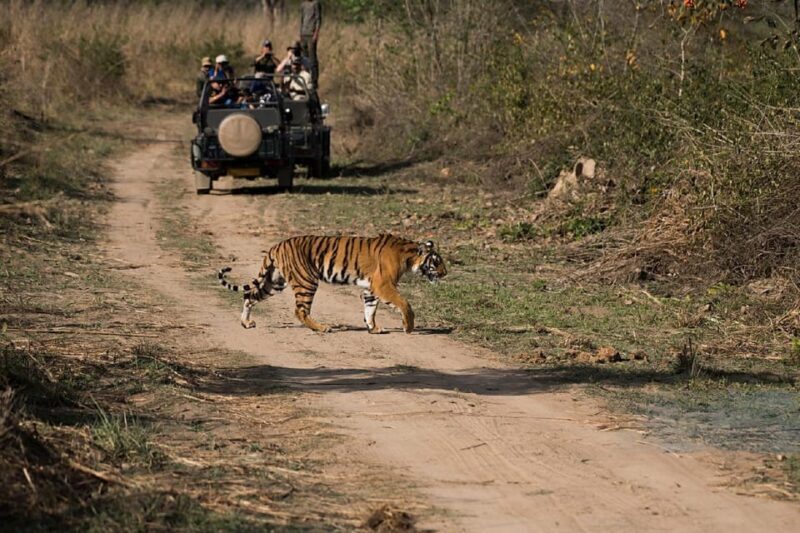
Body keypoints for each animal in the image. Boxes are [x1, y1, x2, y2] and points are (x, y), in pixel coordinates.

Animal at [218, 234, 447, 334]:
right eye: (436, 262)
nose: (445, 273)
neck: (408, 256)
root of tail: (277, 245)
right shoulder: (384, 285)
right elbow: (404, 304)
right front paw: (408, 327)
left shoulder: (371, 287)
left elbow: (370, 309)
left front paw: (373, 328)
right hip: (306, 281)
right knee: (300, 310)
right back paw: (321, 328)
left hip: (274, 282)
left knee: (249, 296)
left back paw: (246, 323)